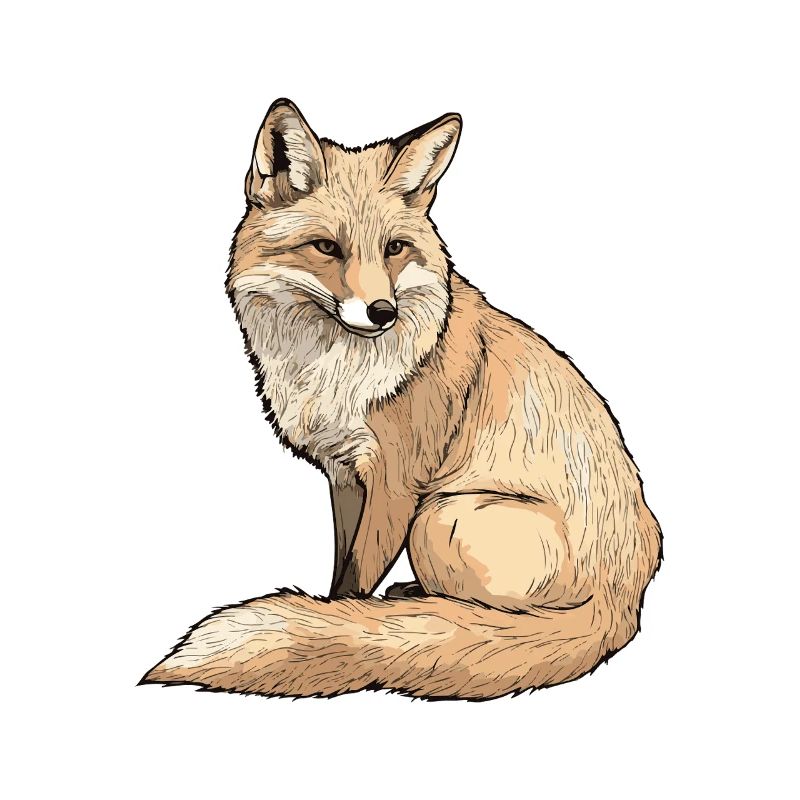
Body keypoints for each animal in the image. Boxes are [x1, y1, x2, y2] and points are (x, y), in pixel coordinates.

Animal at [142, 99, 662, 699]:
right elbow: (342, 571)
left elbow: (357, 583)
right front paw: (338, 615)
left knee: (498, 619)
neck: (336, 372)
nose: (382, 312)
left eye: (394, 248)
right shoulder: (345, 476)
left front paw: (343, 628)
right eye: (326, 247)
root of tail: (626, 601)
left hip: (440, 517)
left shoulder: (397, 482)